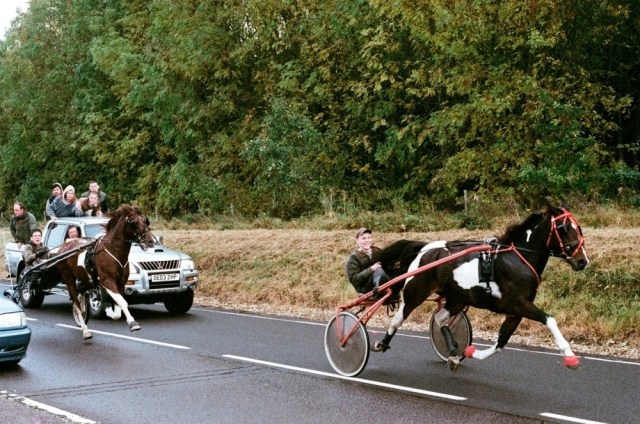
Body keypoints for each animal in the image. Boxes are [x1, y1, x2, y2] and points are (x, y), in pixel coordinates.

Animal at [54, 204, 155, 340]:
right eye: (134, 222)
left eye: (145, 220)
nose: (150, 241)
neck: (113, 250)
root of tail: (63, 247)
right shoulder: (107, 281)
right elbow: (122, 302)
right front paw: (133, 323)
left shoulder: (121, 282)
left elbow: (118, 307)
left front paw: (109, 311)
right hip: (68, 278)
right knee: (75, 302)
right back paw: (85, 330)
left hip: (87, 280)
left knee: (80, 293)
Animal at [370, 203, 589, 370]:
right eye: (563, 228)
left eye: (578, 228)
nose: (582, 261)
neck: (517, 258)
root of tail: (425, 248)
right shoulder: (519, 304)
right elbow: (550, 320)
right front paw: (569, 355)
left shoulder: (515, 312)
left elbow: (501, 342)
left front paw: (470, 352)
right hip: (415, 292)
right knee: (397, 320)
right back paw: (381, 343)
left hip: (457, 298)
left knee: (440, 319)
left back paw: (453, 352)